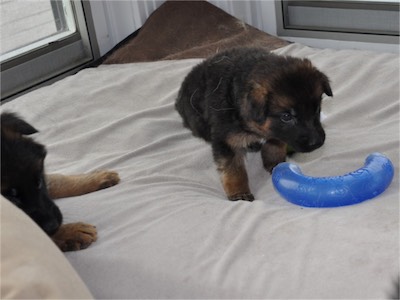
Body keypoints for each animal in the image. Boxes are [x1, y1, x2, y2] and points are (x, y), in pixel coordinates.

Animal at [1, 112, 120, 251]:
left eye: (39, 182)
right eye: (10, 199)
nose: (53, 225)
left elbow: (59, 181)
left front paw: (98, 178)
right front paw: (71, 233)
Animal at [177, 47, 332, 202]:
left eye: (316, 109)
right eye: (286, 116)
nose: (317, 143)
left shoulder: (277, 132)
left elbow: (275, 144)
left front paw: (275, 163)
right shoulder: (226, 140)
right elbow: (234, 170)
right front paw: (239, 193)